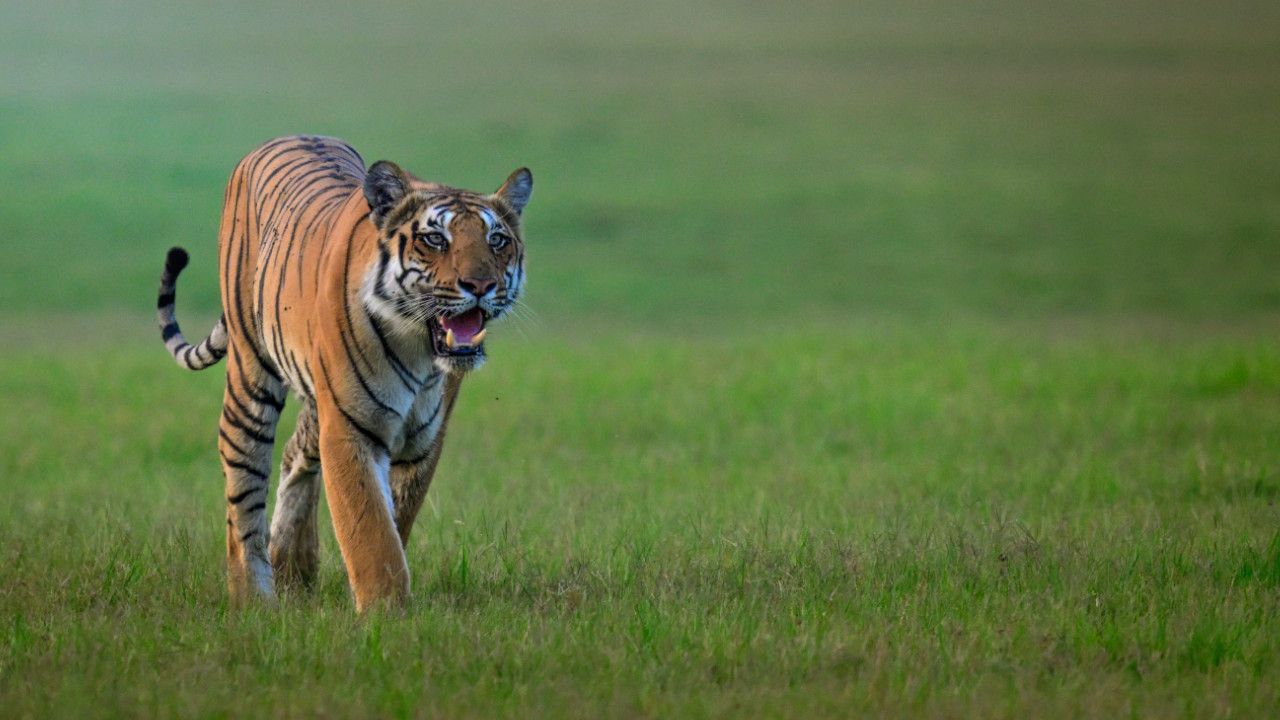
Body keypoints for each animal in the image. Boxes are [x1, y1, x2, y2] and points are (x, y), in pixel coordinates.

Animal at [155, 135, 531, 612]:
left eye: (497, 240)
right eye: (435, 239)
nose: (481, 286)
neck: (420, 352)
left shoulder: (423, 441)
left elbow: (395, 523)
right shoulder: (352, 429)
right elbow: (372, 534)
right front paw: (386, 615)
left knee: (296, 453)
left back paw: (293, 566)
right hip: (251, 377)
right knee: (244, 485)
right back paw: (253, 598)